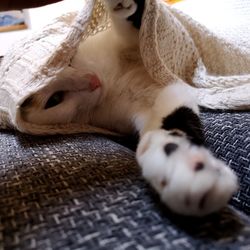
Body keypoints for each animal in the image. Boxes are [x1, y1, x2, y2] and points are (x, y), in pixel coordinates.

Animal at [20, 0, 237, 216]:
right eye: (54, 99)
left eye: (69, 60)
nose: (93, 80)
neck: (111, 83)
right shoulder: (154, 103)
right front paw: (182, 166)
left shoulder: (138, 46)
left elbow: (135, 31)